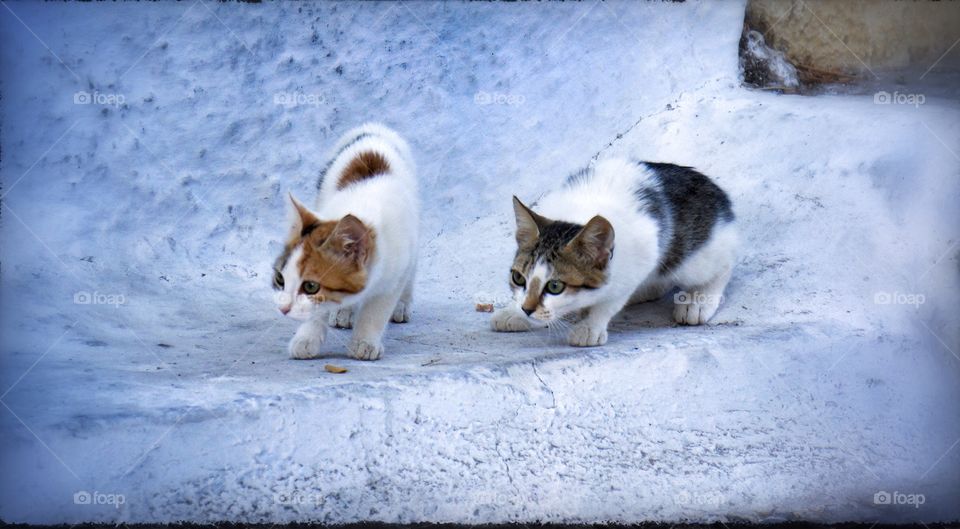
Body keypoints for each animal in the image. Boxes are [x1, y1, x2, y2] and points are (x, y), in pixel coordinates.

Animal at [272, 124, 418, 358]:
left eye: (310, 286)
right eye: (280, 278)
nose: (283, 308)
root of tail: (374, 128)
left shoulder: (395, 272)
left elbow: (376, 310)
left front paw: (364, 342)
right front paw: (307, 338)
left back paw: (402, 306)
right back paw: (343, 313)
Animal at [492, 157, 740, 346]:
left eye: (555, 287)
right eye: (518, 278)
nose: (526, 309)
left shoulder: (640, 257)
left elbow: (610, 302)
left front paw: (590, 326)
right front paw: (513, 312)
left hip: (694, 258)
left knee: (723, 264)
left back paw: (698, 300)